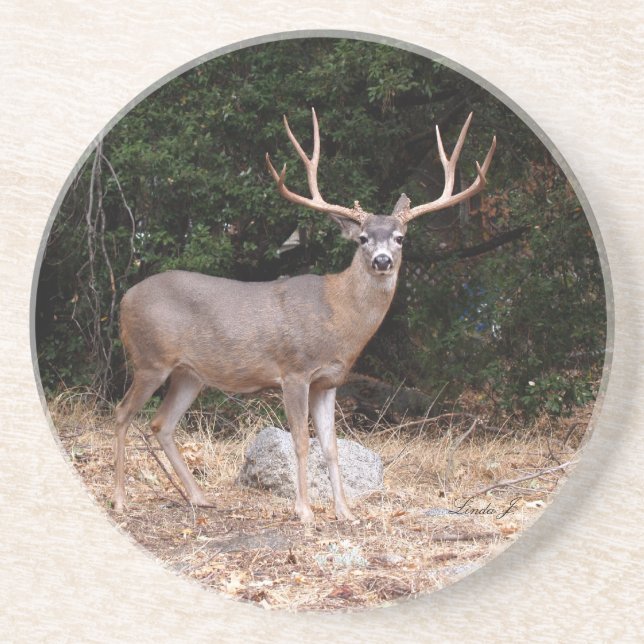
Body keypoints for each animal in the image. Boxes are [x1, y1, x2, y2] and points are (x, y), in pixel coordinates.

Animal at [113, 108, 495, 522]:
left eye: (400, 238)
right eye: (362, 238)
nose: (382, 261)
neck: (338, 317)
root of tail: (123, 300)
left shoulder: (329, 381)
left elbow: (331, 446)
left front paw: (345, 512)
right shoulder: (294, 371)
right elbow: (299, 441)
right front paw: (305, 511)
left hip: (189, 374)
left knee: (161, 423)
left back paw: (200, 497)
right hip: (149, 359)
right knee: (122, 413)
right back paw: (119, 499)